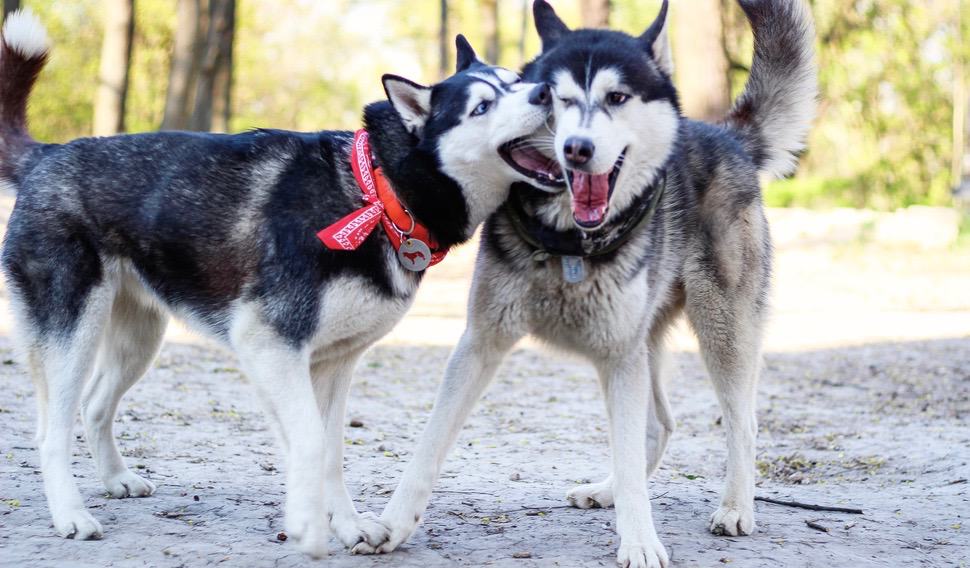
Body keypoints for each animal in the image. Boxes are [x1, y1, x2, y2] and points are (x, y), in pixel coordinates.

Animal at [0, 11, 560, 556]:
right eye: (482, 106)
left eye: (515, 82)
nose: (544, 92)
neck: (377, 192)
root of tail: (46, 155)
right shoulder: (270, 345)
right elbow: (309, 443)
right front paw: (308, 527)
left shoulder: (332, 361)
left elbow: (330, 453)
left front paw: (348, 527)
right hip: (74, 334)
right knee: (50, 432)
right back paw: (70, 516)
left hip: (139, 339)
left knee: (95, 405)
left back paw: (116, 479)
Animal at [360, 2, 812, 564]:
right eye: (558, 97)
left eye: (617, 98)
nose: (577, 148)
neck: (568, 244)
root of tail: (727, 135)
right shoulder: (482, 344)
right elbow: (430, 443)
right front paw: (391, 525)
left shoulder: (620, 356)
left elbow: (635, 452)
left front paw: (640, 541)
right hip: (642, 346)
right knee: (658, 425)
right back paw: (608, 490)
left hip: (718, 335)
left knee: (740, 424)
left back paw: (735, 508)